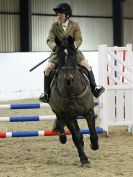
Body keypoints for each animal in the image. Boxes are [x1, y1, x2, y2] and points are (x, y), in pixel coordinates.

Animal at [48, 35, 98, 167]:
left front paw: (94, 145)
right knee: (59, 119)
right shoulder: (67, 115)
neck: (71, 91)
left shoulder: (88, 111)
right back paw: (62, 137)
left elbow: (93, 133)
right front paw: (84, 160)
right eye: (59, 55)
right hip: (58, 111)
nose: (68, 78)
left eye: (73, 54)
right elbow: (76, 138)